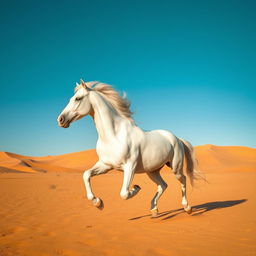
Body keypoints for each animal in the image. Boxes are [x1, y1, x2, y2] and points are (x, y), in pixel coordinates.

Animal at [57, 79, 198, 216]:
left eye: (78, 98)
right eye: (71, 98)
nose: (60, 120)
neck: (113, 135)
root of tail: (177, 138)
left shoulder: (130, 166)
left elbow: (124, 193)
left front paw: (136, 188)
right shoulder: (106, 165)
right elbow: (86, 174)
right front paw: (98, 203)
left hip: (175, 167)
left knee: (183, 180)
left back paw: (187, 207)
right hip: (152, 171)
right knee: (163, 185)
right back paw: (154, 210)